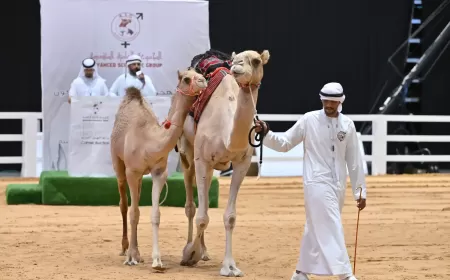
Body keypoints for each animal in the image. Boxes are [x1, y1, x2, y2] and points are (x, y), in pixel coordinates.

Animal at [110, 66, 208, 270]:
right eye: (187, 79)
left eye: (199, 74)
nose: (203, 81)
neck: (149, 141)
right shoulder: (132, 171)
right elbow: (134, 212)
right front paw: (131, 257)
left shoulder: (158, 172)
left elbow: (155, 214)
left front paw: (157, 261)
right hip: (118, 163)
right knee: (124, 204)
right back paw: (125, 249)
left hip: (140, 175)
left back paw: (138, 252)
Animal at [177, 49, 268, 276]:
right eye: (236, 59)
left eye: (256, 61)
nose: (237, 65)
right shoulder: (202, 159)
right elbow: (201, 217)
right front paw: (190, 254)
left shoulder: (242, 163)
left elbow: (230, 217)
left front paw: (229, 266)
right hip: (188, 153)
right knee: (192, 205)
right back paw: (193, 248)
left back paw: (205, 252)